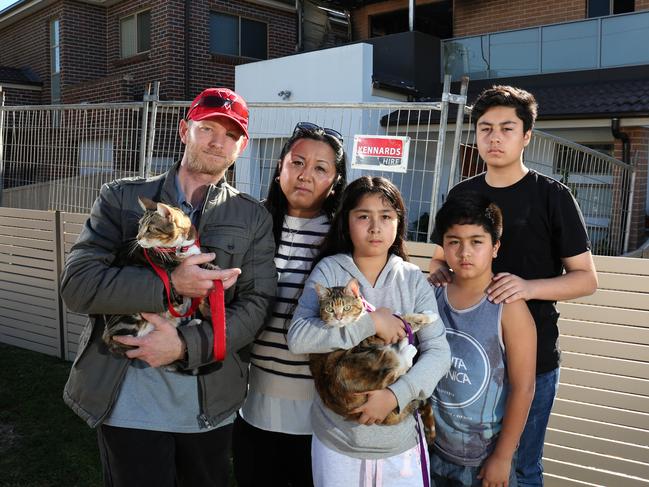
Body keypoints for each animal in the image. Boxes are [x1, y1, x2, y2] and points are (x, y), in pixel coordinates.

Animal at [101, 196, 205, 356]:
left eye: (150, 229)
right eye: (139, 226)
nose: (137, 238)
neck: (181, 246)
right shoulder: (175, 265)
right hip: (129, 315)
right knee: (121, 342)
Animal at [308, 278, 436, 442]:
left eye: (346, 307)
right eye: (330, 309)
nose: (338, 317)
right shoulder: (366, 341)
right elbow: (405, 320)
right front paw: (428, 316)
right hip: (347, 368)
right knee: (395, 369)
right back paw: (406, 348)